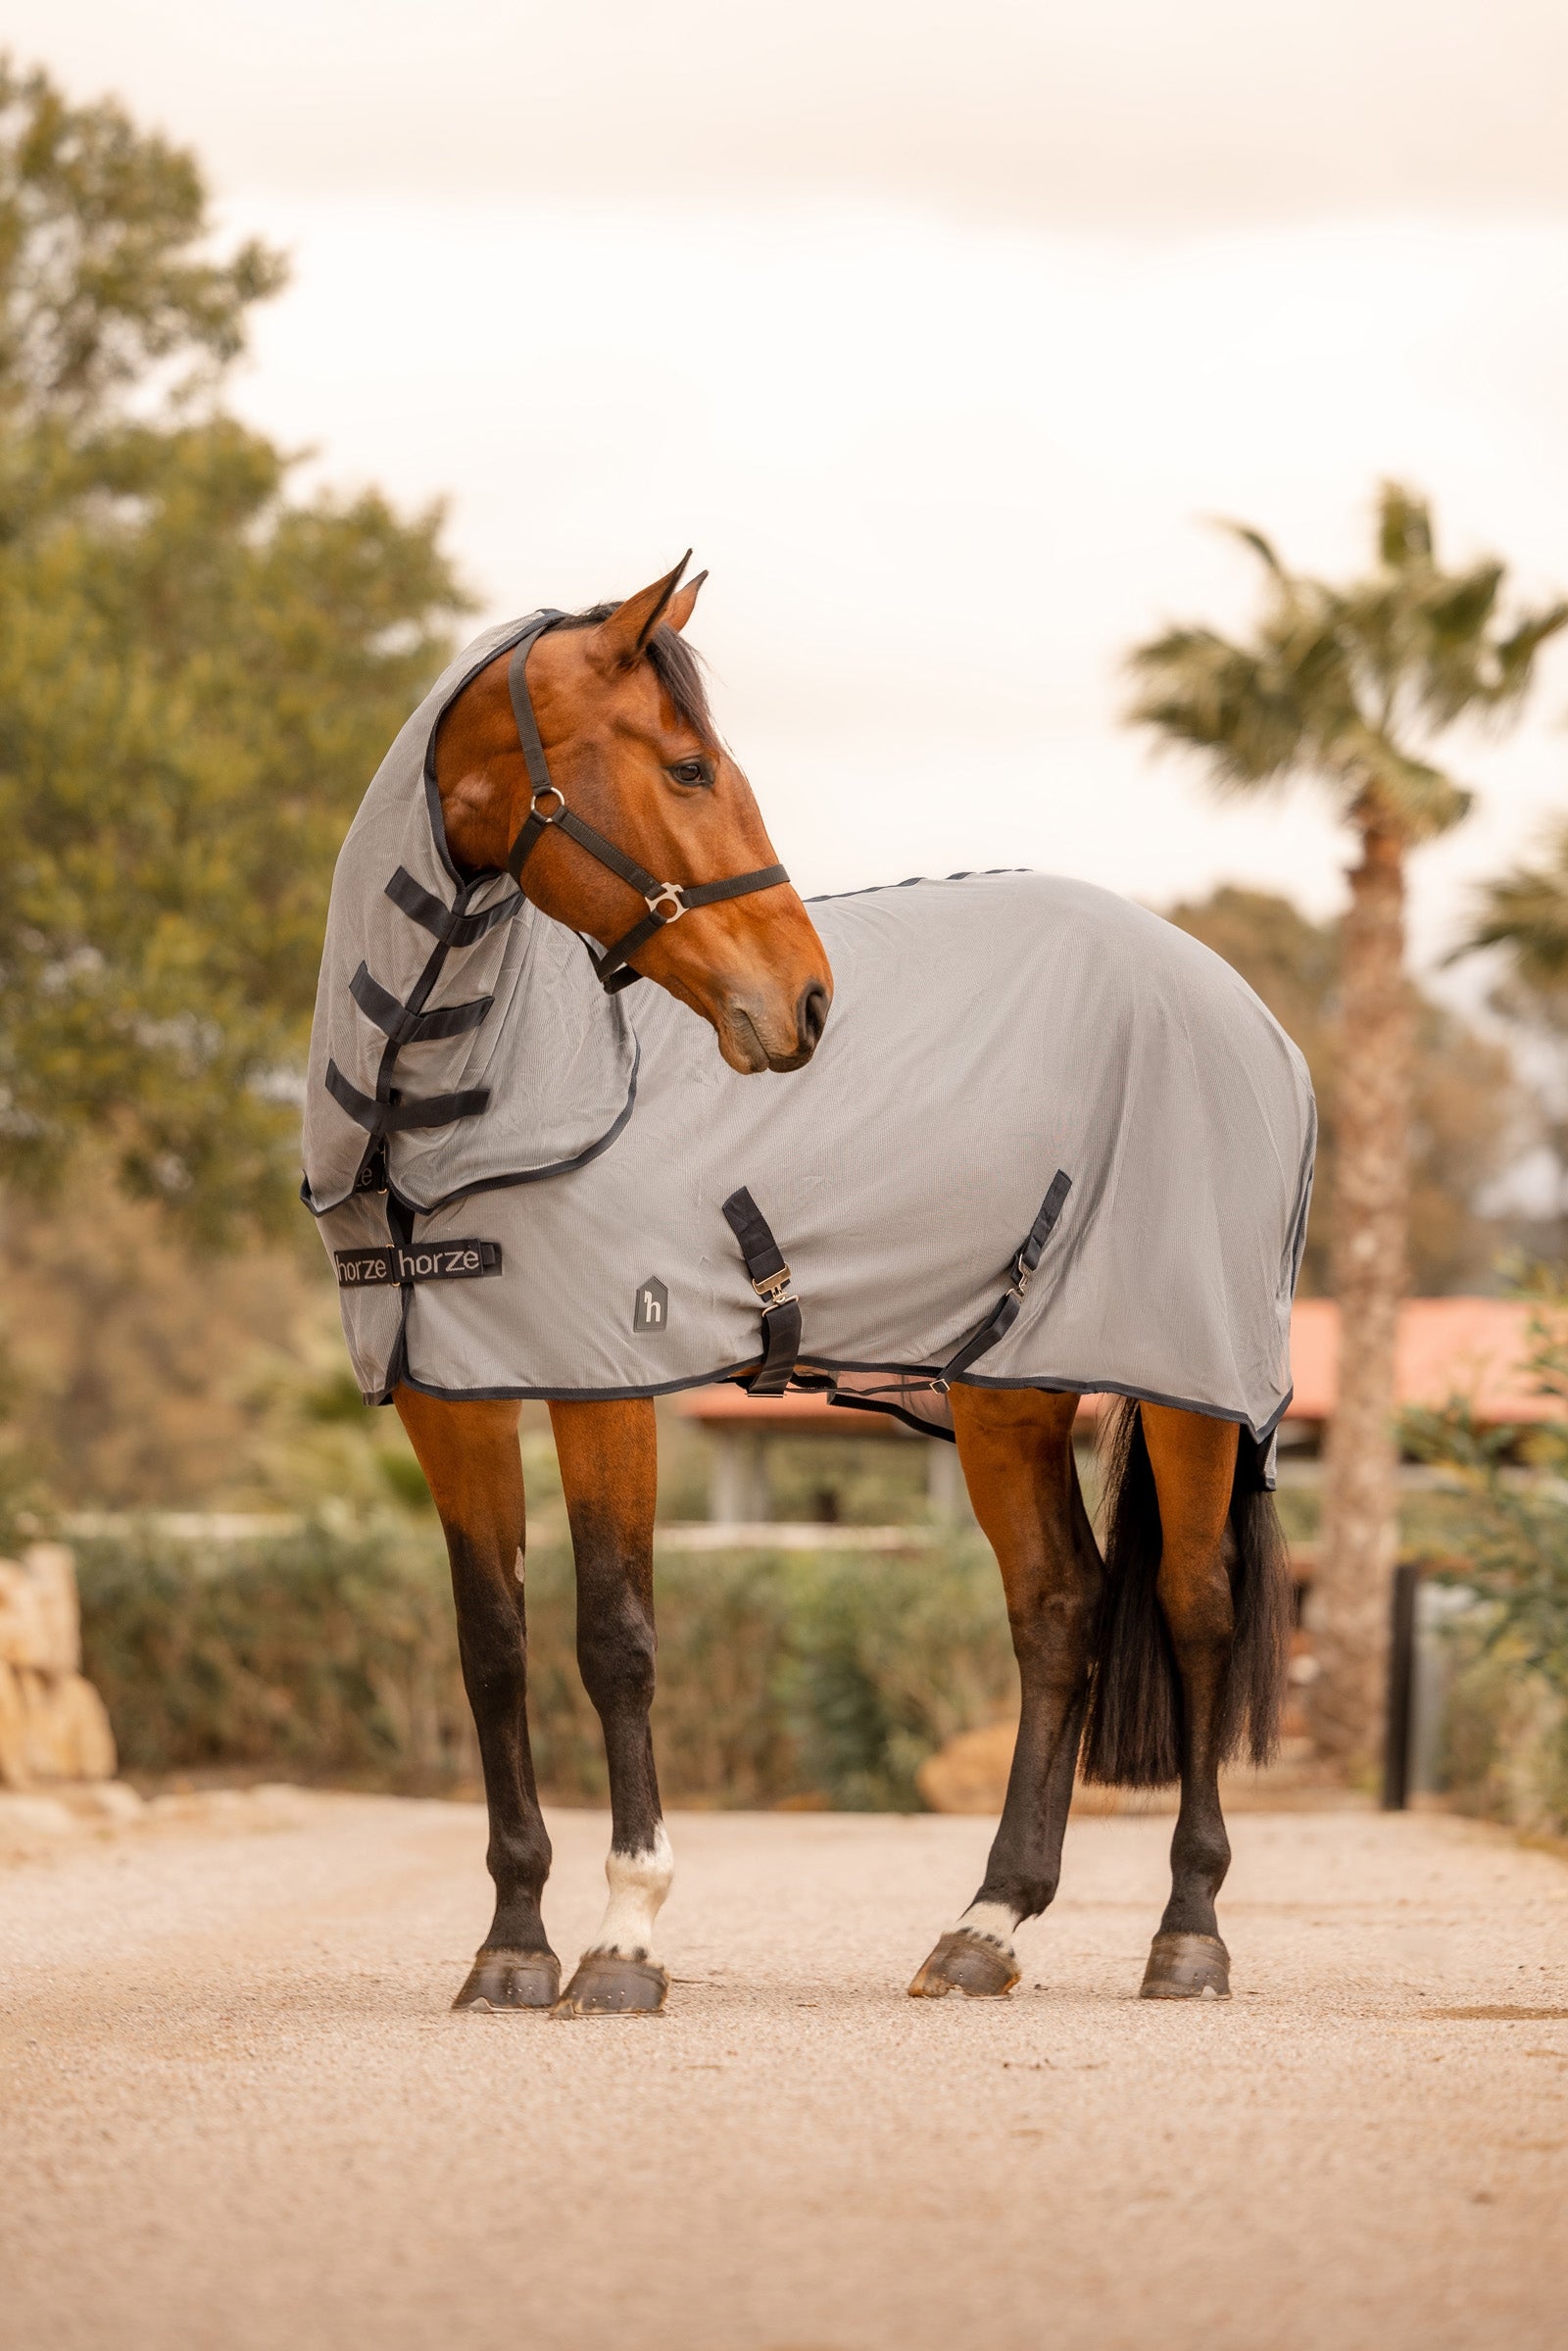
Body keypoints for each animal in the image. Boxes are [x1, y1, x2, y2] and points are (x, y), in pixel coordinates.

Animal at [305, 556, 1306, 2017]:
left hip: (1190, 1382)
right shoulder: (452, 1394)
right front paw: (510, 1945)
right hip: (1008, 1386)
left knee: (1195, 1609)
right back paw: (985, 1924)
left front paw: (624, 1939)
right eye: (683, 764)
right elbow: (492, 1641)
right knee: (1057, 1610)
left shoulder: (606, 1382)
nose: (808, 1004)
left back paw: (1188, 1933)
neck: (451, 1104)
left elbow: (616, 1636)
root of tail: (1247, 1009)